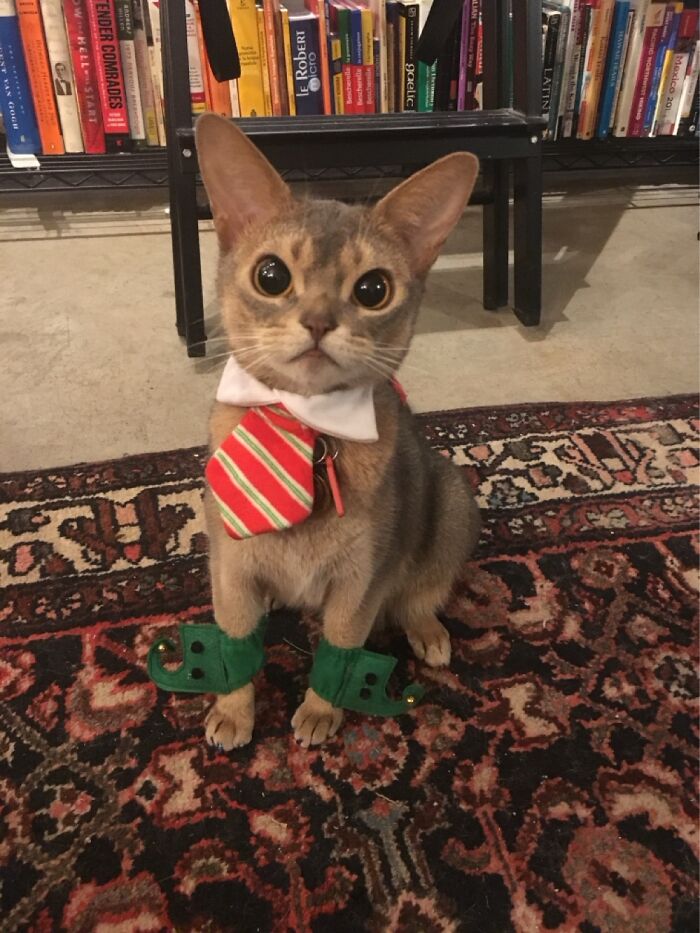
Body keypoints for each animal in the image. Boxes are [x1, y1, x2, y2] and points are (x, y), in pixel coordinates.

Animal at [196, 111, 482, 748]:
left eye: (373, 289)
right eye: (271, 275)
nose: (319, 321)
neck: (305, 426)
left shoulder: (360, 581)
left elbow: (343, 643)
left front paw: (321, 710)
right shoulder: (231, 569)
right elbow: (234, 639)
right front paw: (234, 711)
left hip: (451, 501)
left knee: (419, 595)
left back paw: (429, 633)